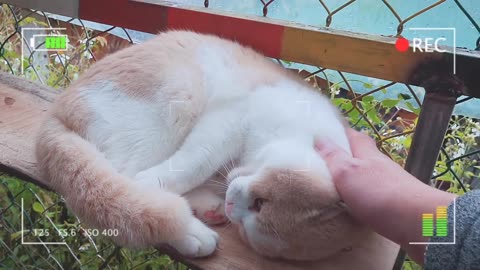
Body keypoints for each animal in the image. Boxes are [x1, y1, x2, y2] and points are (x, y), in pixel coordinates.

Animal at [36, 30, 368, 260]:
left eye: (248, 228)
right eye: (261, 201)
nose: (232, 205)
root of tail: (55, 111)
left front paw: (210, 204)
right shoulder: (229, 120)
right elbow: (193, 164)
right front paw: (167, 187)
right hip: (180, 95)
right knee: (125, 186)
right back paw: (188, 230)